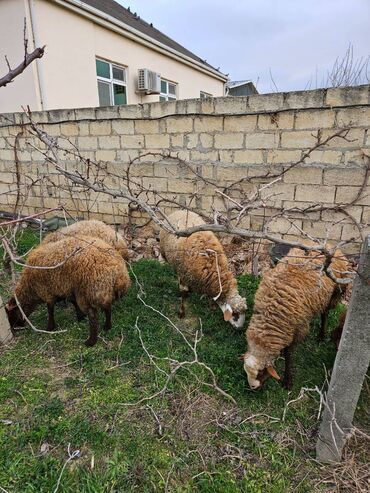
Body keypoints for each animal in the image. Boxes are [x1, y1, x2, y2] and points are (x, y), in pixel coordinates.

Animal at [243, 245, 350, 388]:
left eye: (261, 372)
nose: (252, 387)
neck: (270, 314)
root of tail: (332, 248)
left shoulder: (298, 328)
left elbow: (289, 353)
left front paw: (287, 380)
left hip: (335, 293)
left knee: (325, 314)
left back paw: (321, 335)